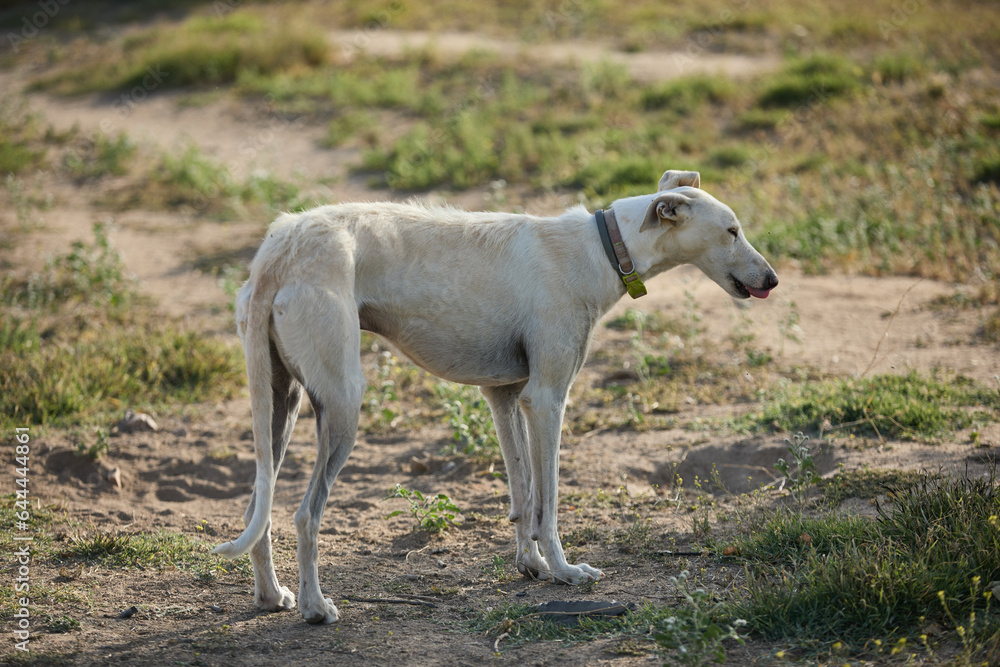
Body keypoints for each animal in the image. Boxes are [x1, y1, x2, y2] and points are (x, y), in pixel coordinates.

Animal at [215, 170, 776, 624]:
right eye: (732, 230)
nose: (772, 279)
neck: (600, 247)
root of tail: (278, 249)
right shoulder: (547, 399)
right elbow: (548, 504)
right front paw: (565, 571)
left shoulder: (504, 396)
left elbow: (522, 496)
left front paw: (531, 565)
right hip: (343, 406)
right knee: (305, 514)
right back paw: (315, 608)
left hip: (280, 404)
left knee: (257, 510)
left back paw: (272, 597)